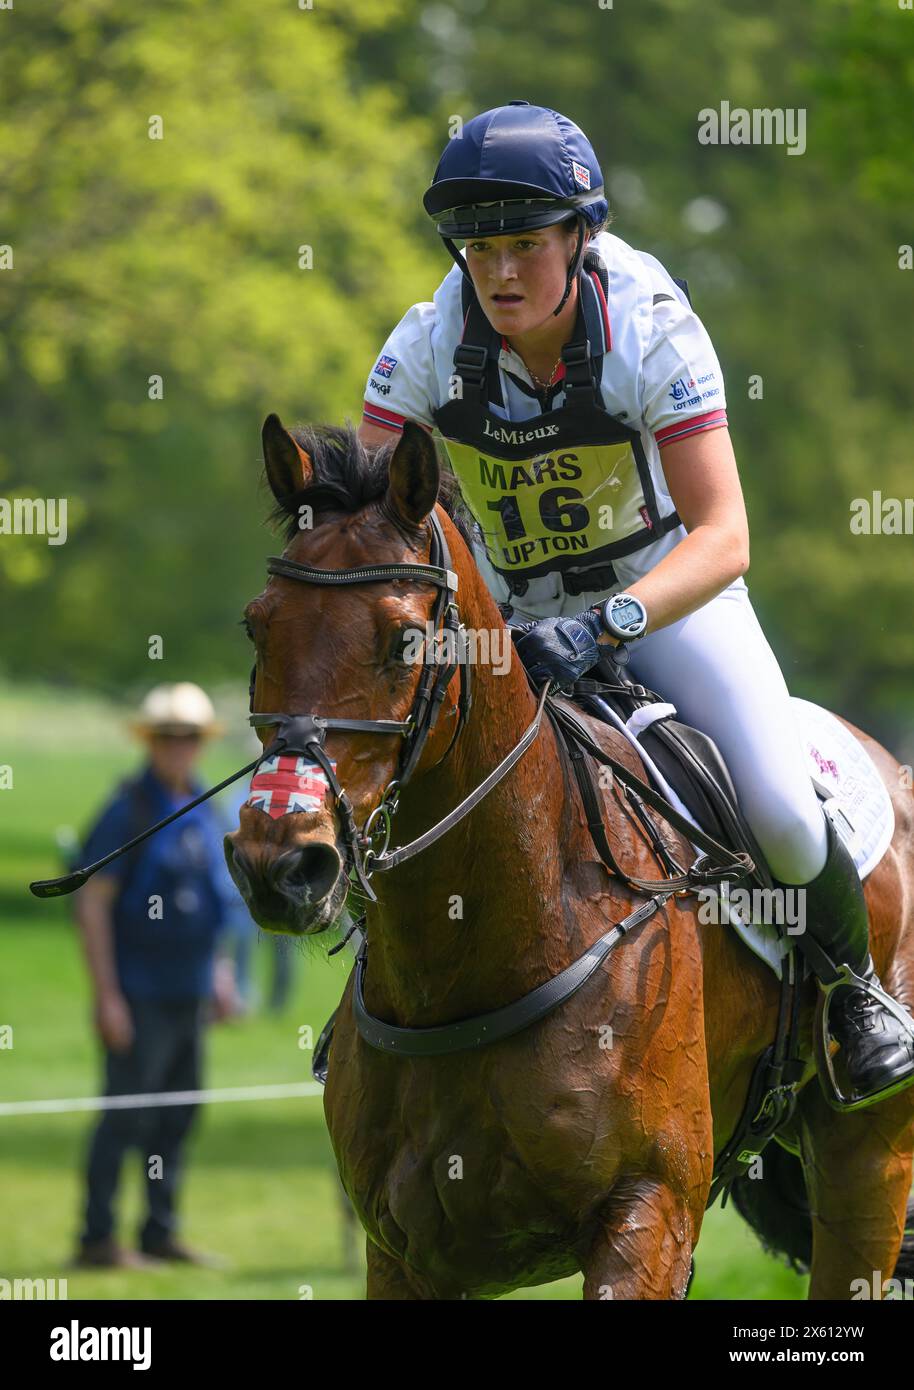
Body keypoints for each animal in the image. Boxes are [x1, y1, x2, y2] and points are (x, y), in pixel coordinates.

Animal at [226, 414, 911, 1301]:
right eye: (257, 624)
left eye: (405, 638)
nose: (279, 864)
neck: (475, 957)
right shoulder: (405, 1252)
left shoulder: (647, 1212)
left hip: (869, 1160)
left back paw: (871, 1030)